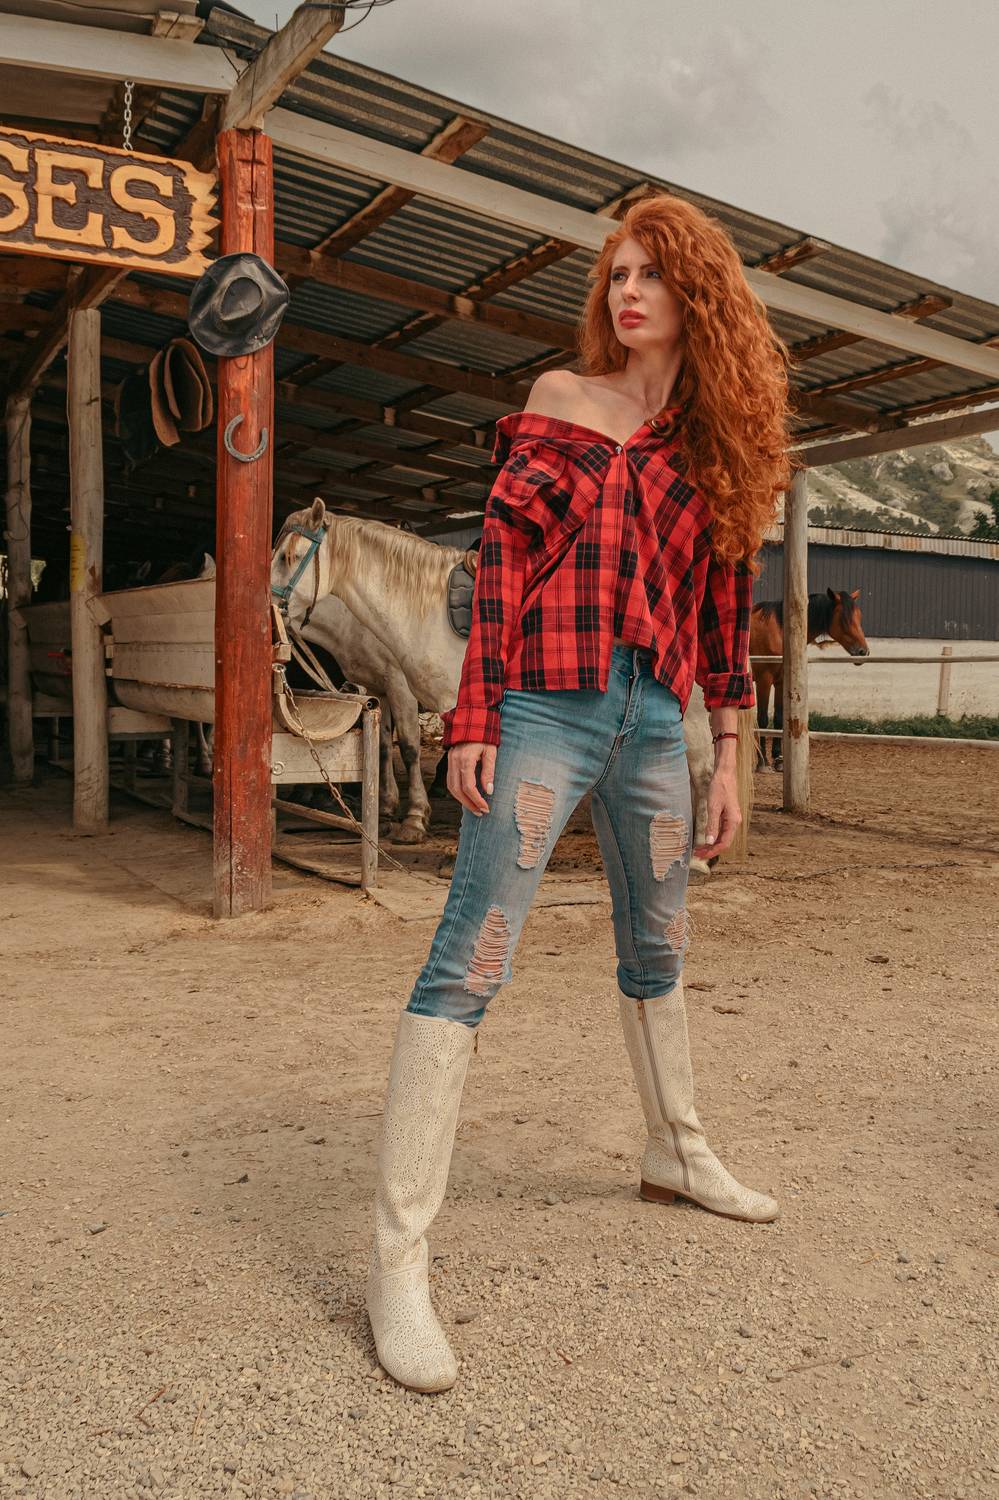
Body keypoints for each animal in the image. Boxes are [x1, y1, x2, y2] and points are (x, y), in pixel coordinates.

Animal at [271, 499, 755, 870]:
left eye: (289, 557)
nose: (269, 604)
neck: (425, 606)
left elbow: (421, 753)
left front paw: (420, 827)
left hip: (689, 713)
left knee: (702, 772)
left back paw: (697, 857)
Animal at [750, 588, 869, 769]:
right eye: (844, 619)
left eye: (859, 616)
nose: (863, 651)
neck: (780, 630)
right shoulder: (764, 680)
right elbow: (762, 719)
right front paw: (763, 760)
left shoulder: (780, 681)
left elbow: (778, 718)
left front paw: (778, 759)